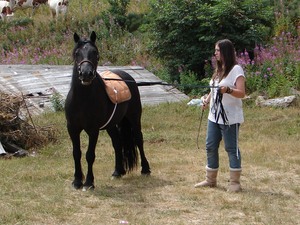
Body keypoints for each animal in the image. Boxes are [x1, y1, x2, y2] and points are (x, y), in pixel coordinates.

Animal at [64, 31, 151, 190]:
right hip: (111, 125)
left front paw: (89, 183)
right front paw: (77, 181)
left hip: (134, 119)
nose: (86, 74)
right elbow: (76, 153)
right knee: (117, 143)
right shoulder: (72, 128)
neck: (82, 100)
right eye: (77, 53)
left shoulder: (93, 130)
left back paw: (145, 169)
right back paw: (118, 171)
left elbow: (90, 155)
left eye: (95, 53)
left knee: (138, 139)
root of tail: (128, 77)